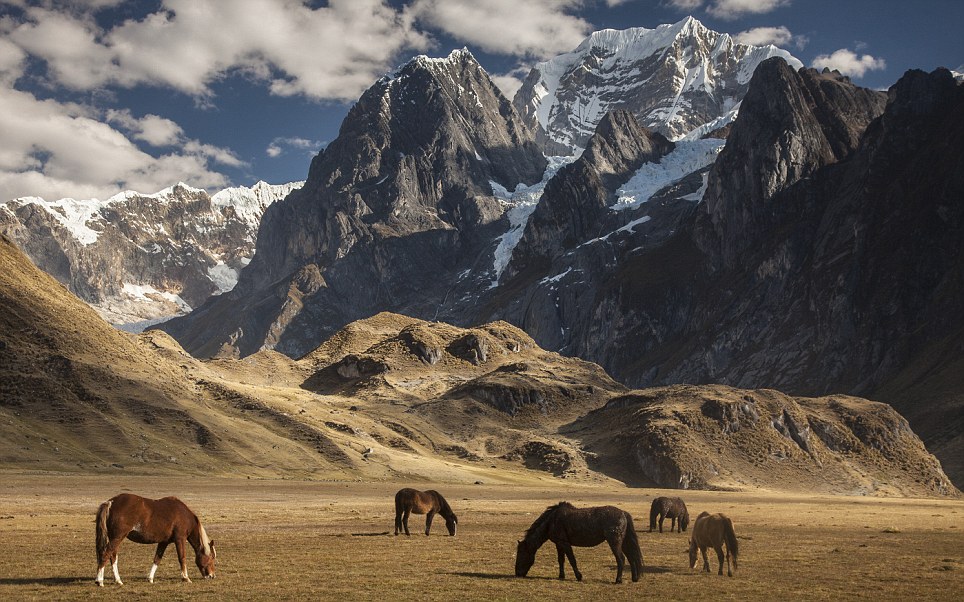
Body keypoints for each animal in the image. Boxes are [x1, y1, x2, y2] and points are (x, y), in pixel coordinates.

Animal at [516, 500, 644, 584]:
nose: (517, 573)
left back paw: (618, 580)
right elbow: (561, 560)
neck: (551, 521)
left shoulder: (565, 543)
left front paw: (579, 576)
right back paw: (635, 578)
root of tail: (623, 513)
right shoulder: (559, 544)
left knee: (621, 559)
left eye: (521, 554)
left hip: (614, 542)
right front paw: (561, 576)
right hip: (624, 542)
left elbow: (572, 560)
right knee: (631, 557)